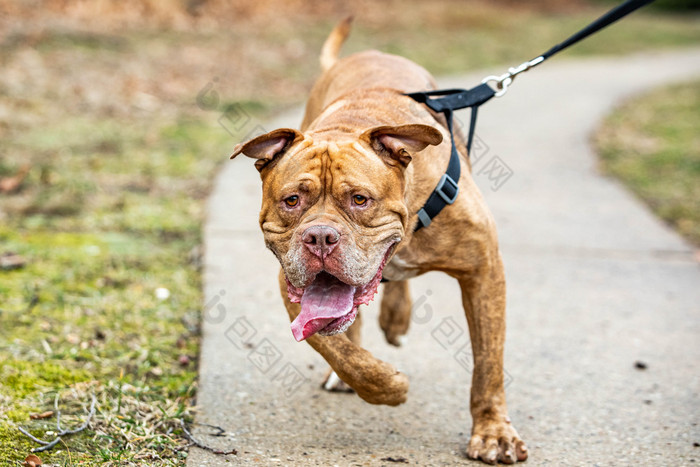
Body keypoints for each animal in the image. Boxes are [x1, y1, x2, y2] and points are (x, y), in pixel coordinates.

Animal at [232, 18, 528, 464]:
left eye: (360, 199)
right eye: (291, 200)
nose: (320, 236)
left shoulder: (483, 270)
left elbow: (488, 361)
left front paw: (493, 431)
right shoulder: (290, 284)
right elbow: (337, 349)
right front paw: (385, 384)